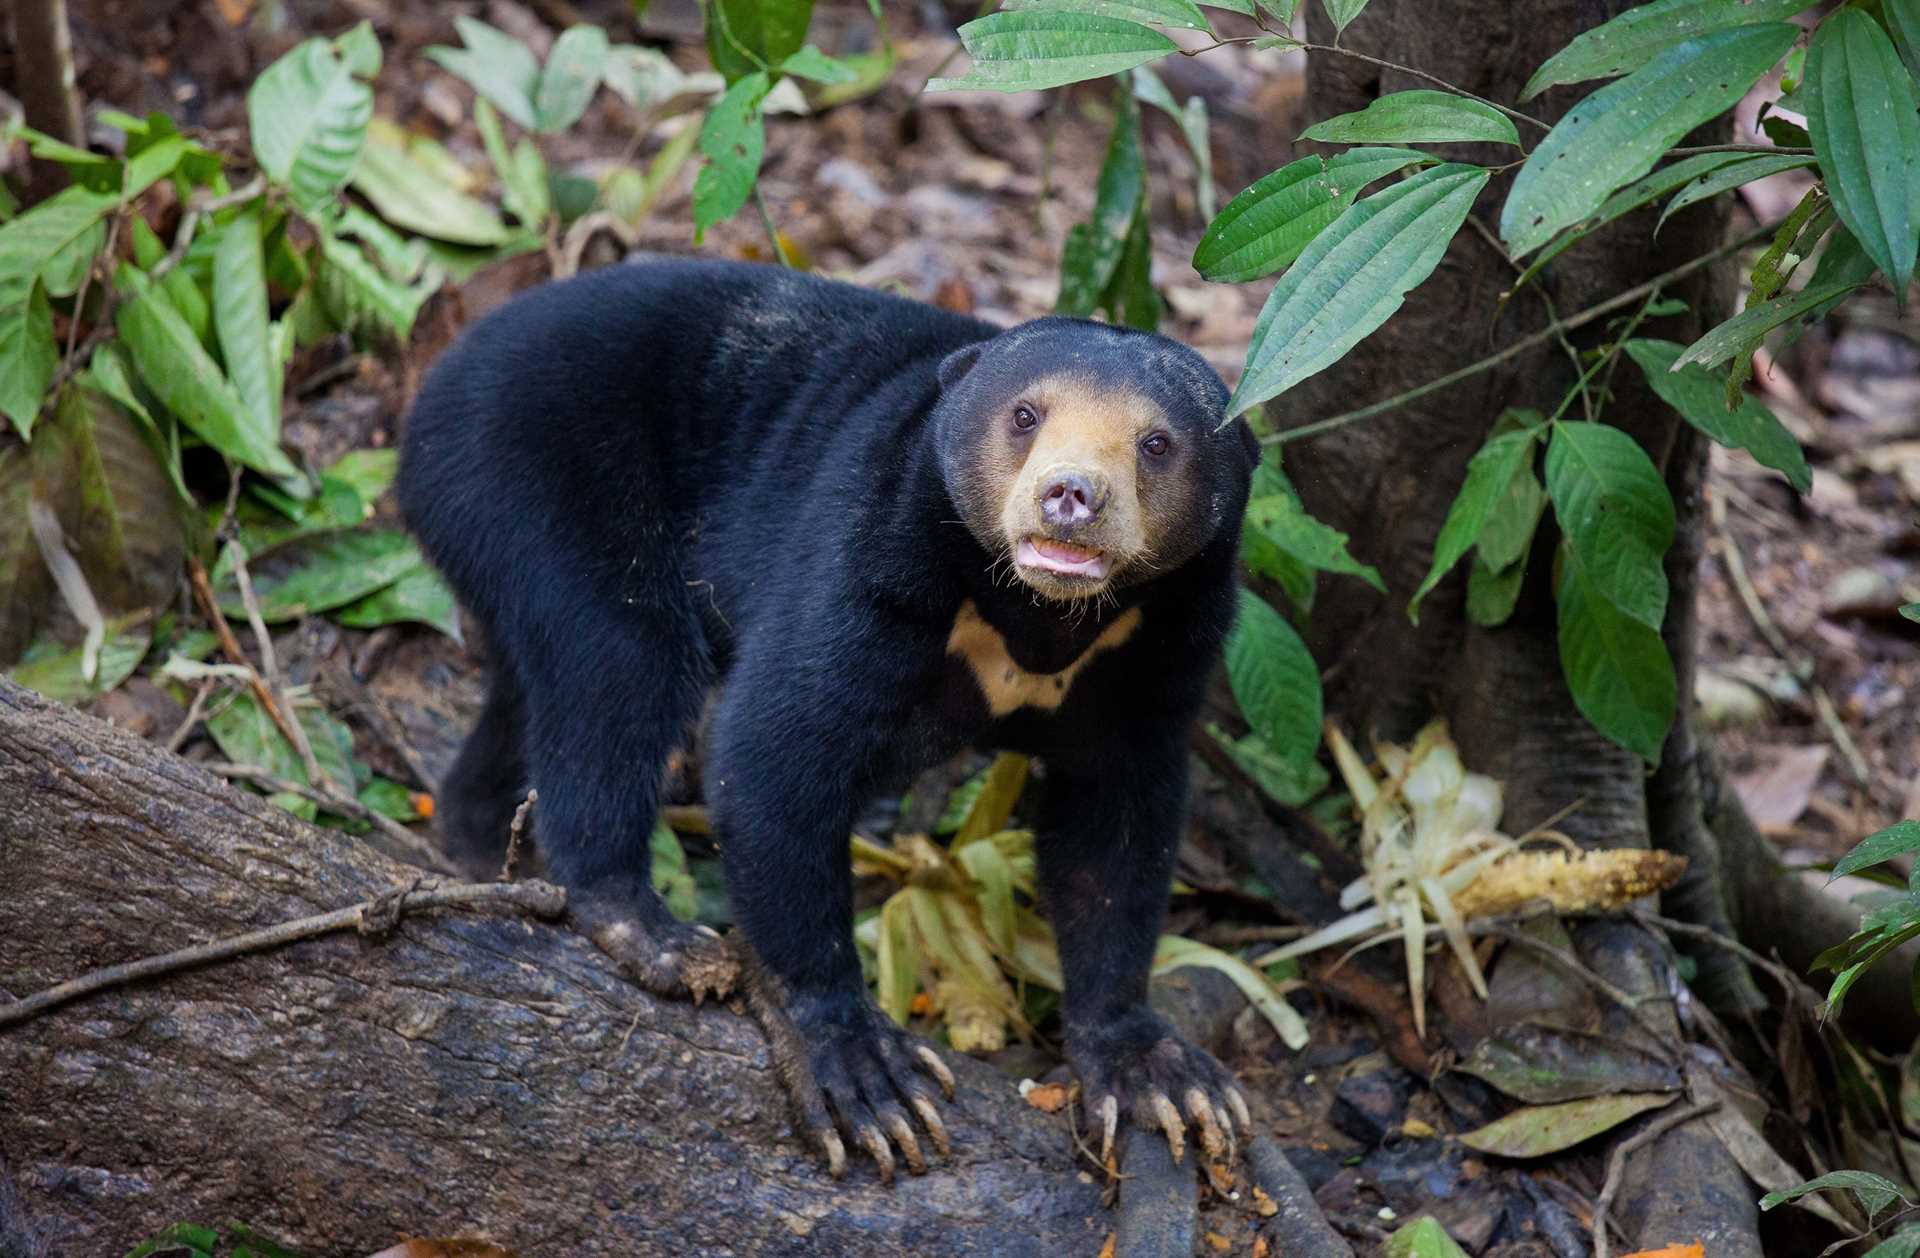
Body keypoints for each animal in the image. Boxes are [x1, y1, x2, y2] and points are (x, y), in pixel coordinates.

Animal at [395, 259, 1259, 1183]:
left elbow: (1116, 824)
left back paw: (479, 838)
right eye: (1025, 416)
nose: (1071, 496)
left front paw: (1158, 1074)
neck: (1040, 616)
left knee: (532, 685)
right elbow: (775, 751)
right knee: (618, 659)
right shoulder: (876, 549)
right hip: (531, 468)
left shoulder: (1163, 644)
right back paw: (651, 929)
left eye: (1156, 444)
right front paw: (867, 1074)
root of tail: (437, 379)